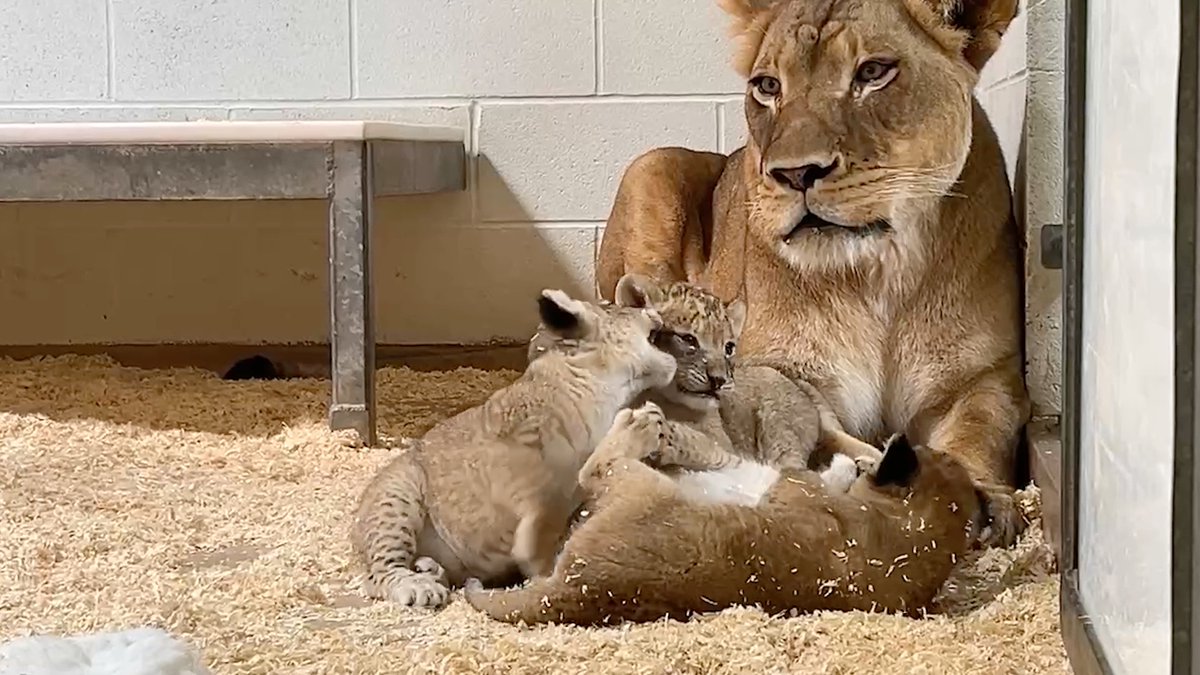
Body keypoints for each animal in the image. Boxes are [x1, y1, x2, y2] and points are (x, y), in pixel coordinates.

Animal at [350, 288, 677, 608]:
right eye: (614, 306)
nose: (652, 308)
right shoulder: (520, 464)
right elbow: (547, 512)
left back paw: (431, 569)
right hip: (397, 494)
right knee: (378, 574)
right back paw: (419, 586)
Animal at [464, 403, 989, 626]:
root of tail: (577, 592)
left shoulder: (792, 493)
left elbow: (797, 474)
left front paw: (844, 466)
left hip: (641, 484)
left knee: (595, 469)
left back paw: (636, 427)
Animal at [595, 0, 1029, 547]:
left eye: (873, 72)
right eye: (768, 86)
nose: (795, 173)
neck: (877, 274)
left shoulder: (985, 374)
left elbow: (981, 428)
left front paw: (982, 496)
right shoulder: (783, 369)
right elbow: (816, 421)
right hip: (651, 166)